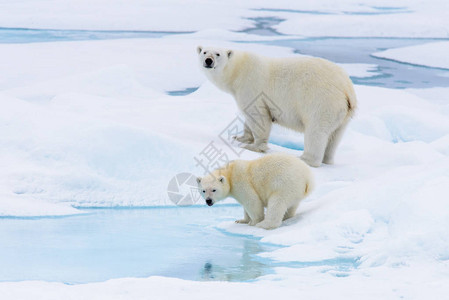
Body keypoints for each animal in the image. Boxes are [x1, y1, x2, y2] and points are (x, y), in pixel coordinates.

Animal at [198, 46, 356, 166]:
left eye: (217, 53)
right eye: (204, 52)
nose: (208, 61)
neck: (239, 69)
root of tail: (346, 88)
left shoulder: (251, 86)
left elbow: (258, 116)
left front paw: (253, 146)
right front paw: (240, 138)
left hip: (322, 102)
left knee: (316, 131)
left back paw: (304, 159)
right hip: (342, 114)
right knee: (335, 136)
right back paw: (327, 159)